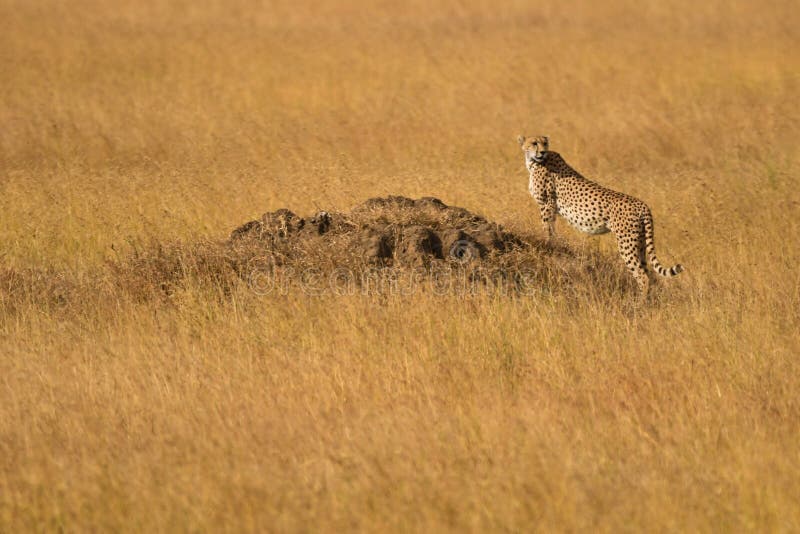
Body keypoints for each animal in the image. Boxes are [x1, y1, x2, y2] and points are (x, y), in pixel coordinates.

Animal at [520, 135, 680, 298]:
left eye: (544, 143)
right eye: (534, 143)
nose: (542, 152)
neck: (534, 162)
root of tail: (642, 204)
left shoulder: (547, 205)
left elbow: (547, 228)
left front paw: (547, 243)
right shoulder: (550, 207)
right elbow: (551, 228)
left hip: (627, 243)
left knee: (642, 275)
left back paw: (640, 301)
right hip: (639, 242)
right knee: (646, 272)